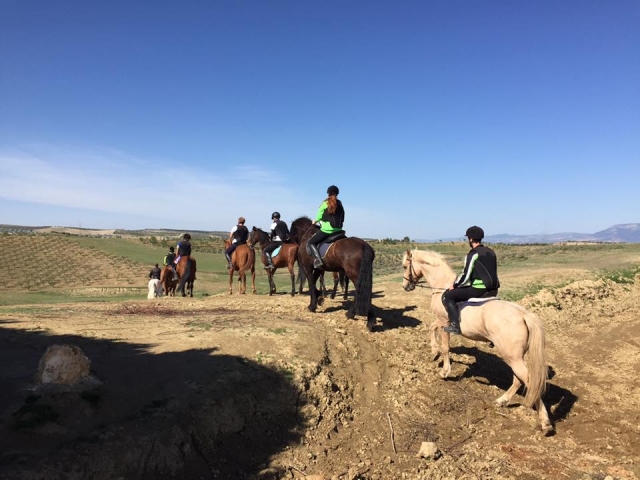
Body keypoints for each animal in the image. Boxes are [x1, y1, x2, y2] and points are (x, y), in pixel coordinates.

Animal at [401, 249, 553, 434]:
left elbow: (445, 346)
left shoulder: (444, 322)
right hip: (515, 357)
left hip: (513, 357)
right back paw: (502, 400)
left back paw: (545, 422)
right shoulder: (440, 322)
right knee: (518, 379)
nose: (405, 286)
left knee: (530, 382)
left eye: (405, 266)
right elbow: (431, 328)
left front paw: (444, 370)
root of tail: (524, 314)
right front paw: (433, 352)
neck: (442, 286)